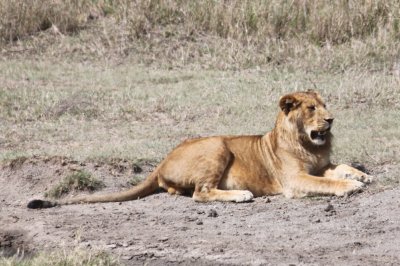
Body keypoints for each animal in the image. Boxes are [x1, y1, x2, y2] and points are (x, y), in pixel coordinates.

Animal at [27, 90, 372, 209]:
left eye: (325, 105)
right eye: (312, 108)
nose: (331, 119)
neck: (309, 143)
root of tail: (161, 161)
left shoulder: (320, 164)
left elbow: (339, 167)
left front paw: (361, 175)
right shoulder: (295, 181)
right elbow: (325, 182)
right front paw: (350, 186)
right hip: (216, 146)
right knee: (200, 193)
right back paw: (240, 195)